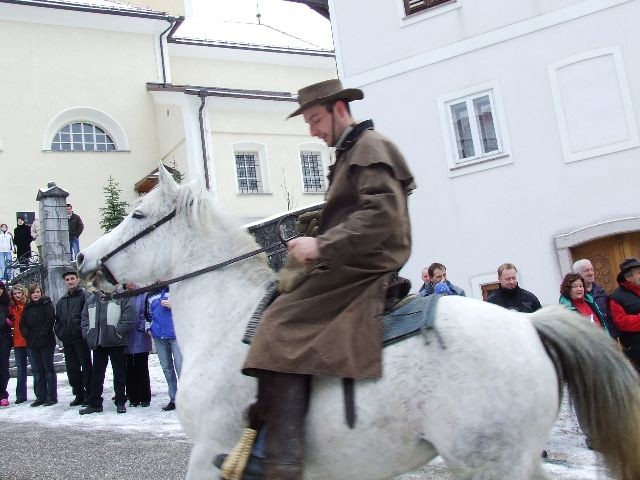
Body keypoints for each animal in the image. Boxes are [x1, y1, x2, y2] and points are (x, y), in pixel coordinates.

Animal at [77, 166, 640, 480]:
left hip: (489, 463)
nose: (83, 260)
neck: (226, 321)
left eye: (137, 215)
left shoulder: (211, 451)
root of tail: (530, 327)